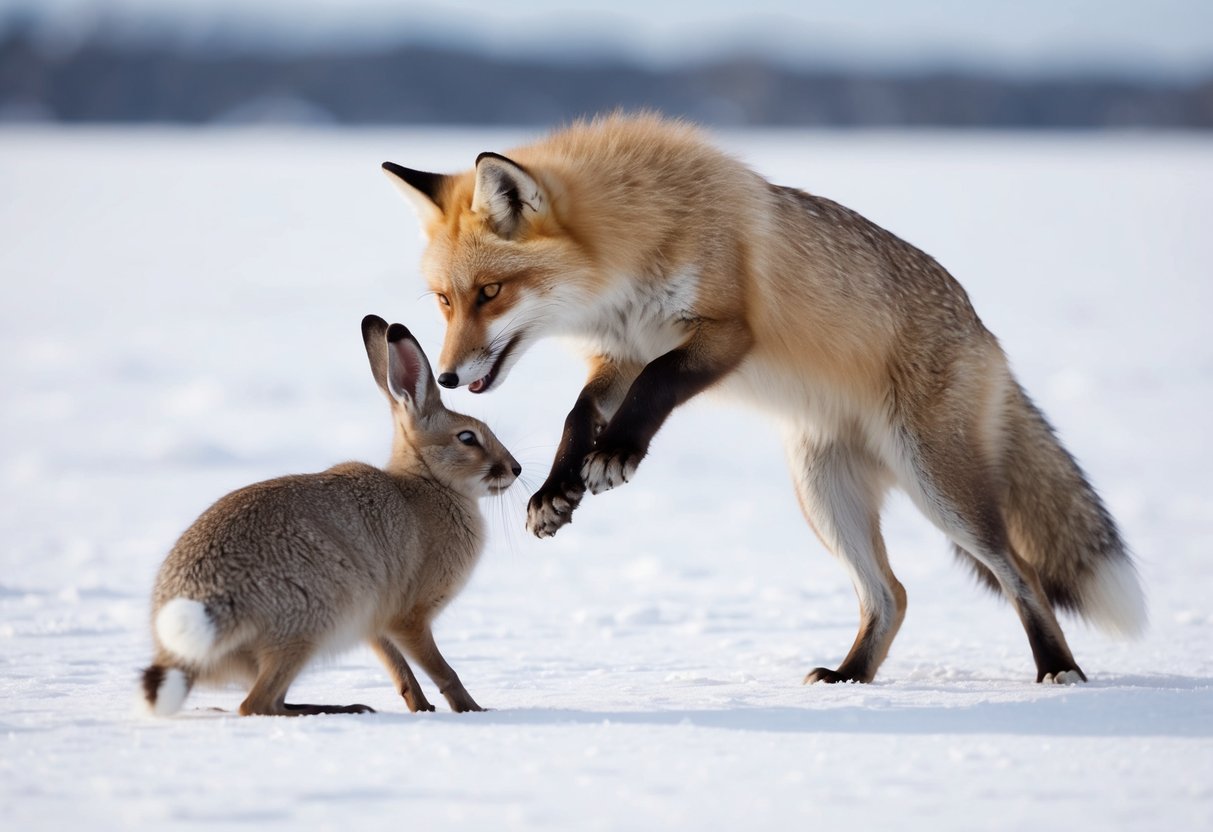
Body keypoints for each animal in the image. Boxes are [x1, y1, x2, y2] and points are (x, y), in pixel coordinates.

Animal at [140, 314, 520, 716]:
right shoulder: (408, 616)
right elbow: (441, 669)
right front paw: (474, 711)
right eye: (467, 438)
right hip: (311, 619)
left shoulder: (374, 622)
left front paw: (423, 709)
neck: (428, 480)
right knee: (257, 703)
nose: (516, 469)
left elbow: (400, 670)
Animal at [380, 112, 1145, 685]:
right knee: (891, 594)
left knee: (1020, 573)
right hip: (822, 490)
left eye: (490, 292)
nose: (447, 377)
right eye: (445, 300)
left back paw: (1057, 668)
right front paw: (556, 491)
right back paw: (849, 676)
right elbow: (579, 414)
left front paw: (618, 454)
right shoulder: (622, 350)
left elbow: (657, 387)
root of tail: (987, 336)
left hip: (939, 487)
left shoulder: (723, 333)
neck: (638, 237)